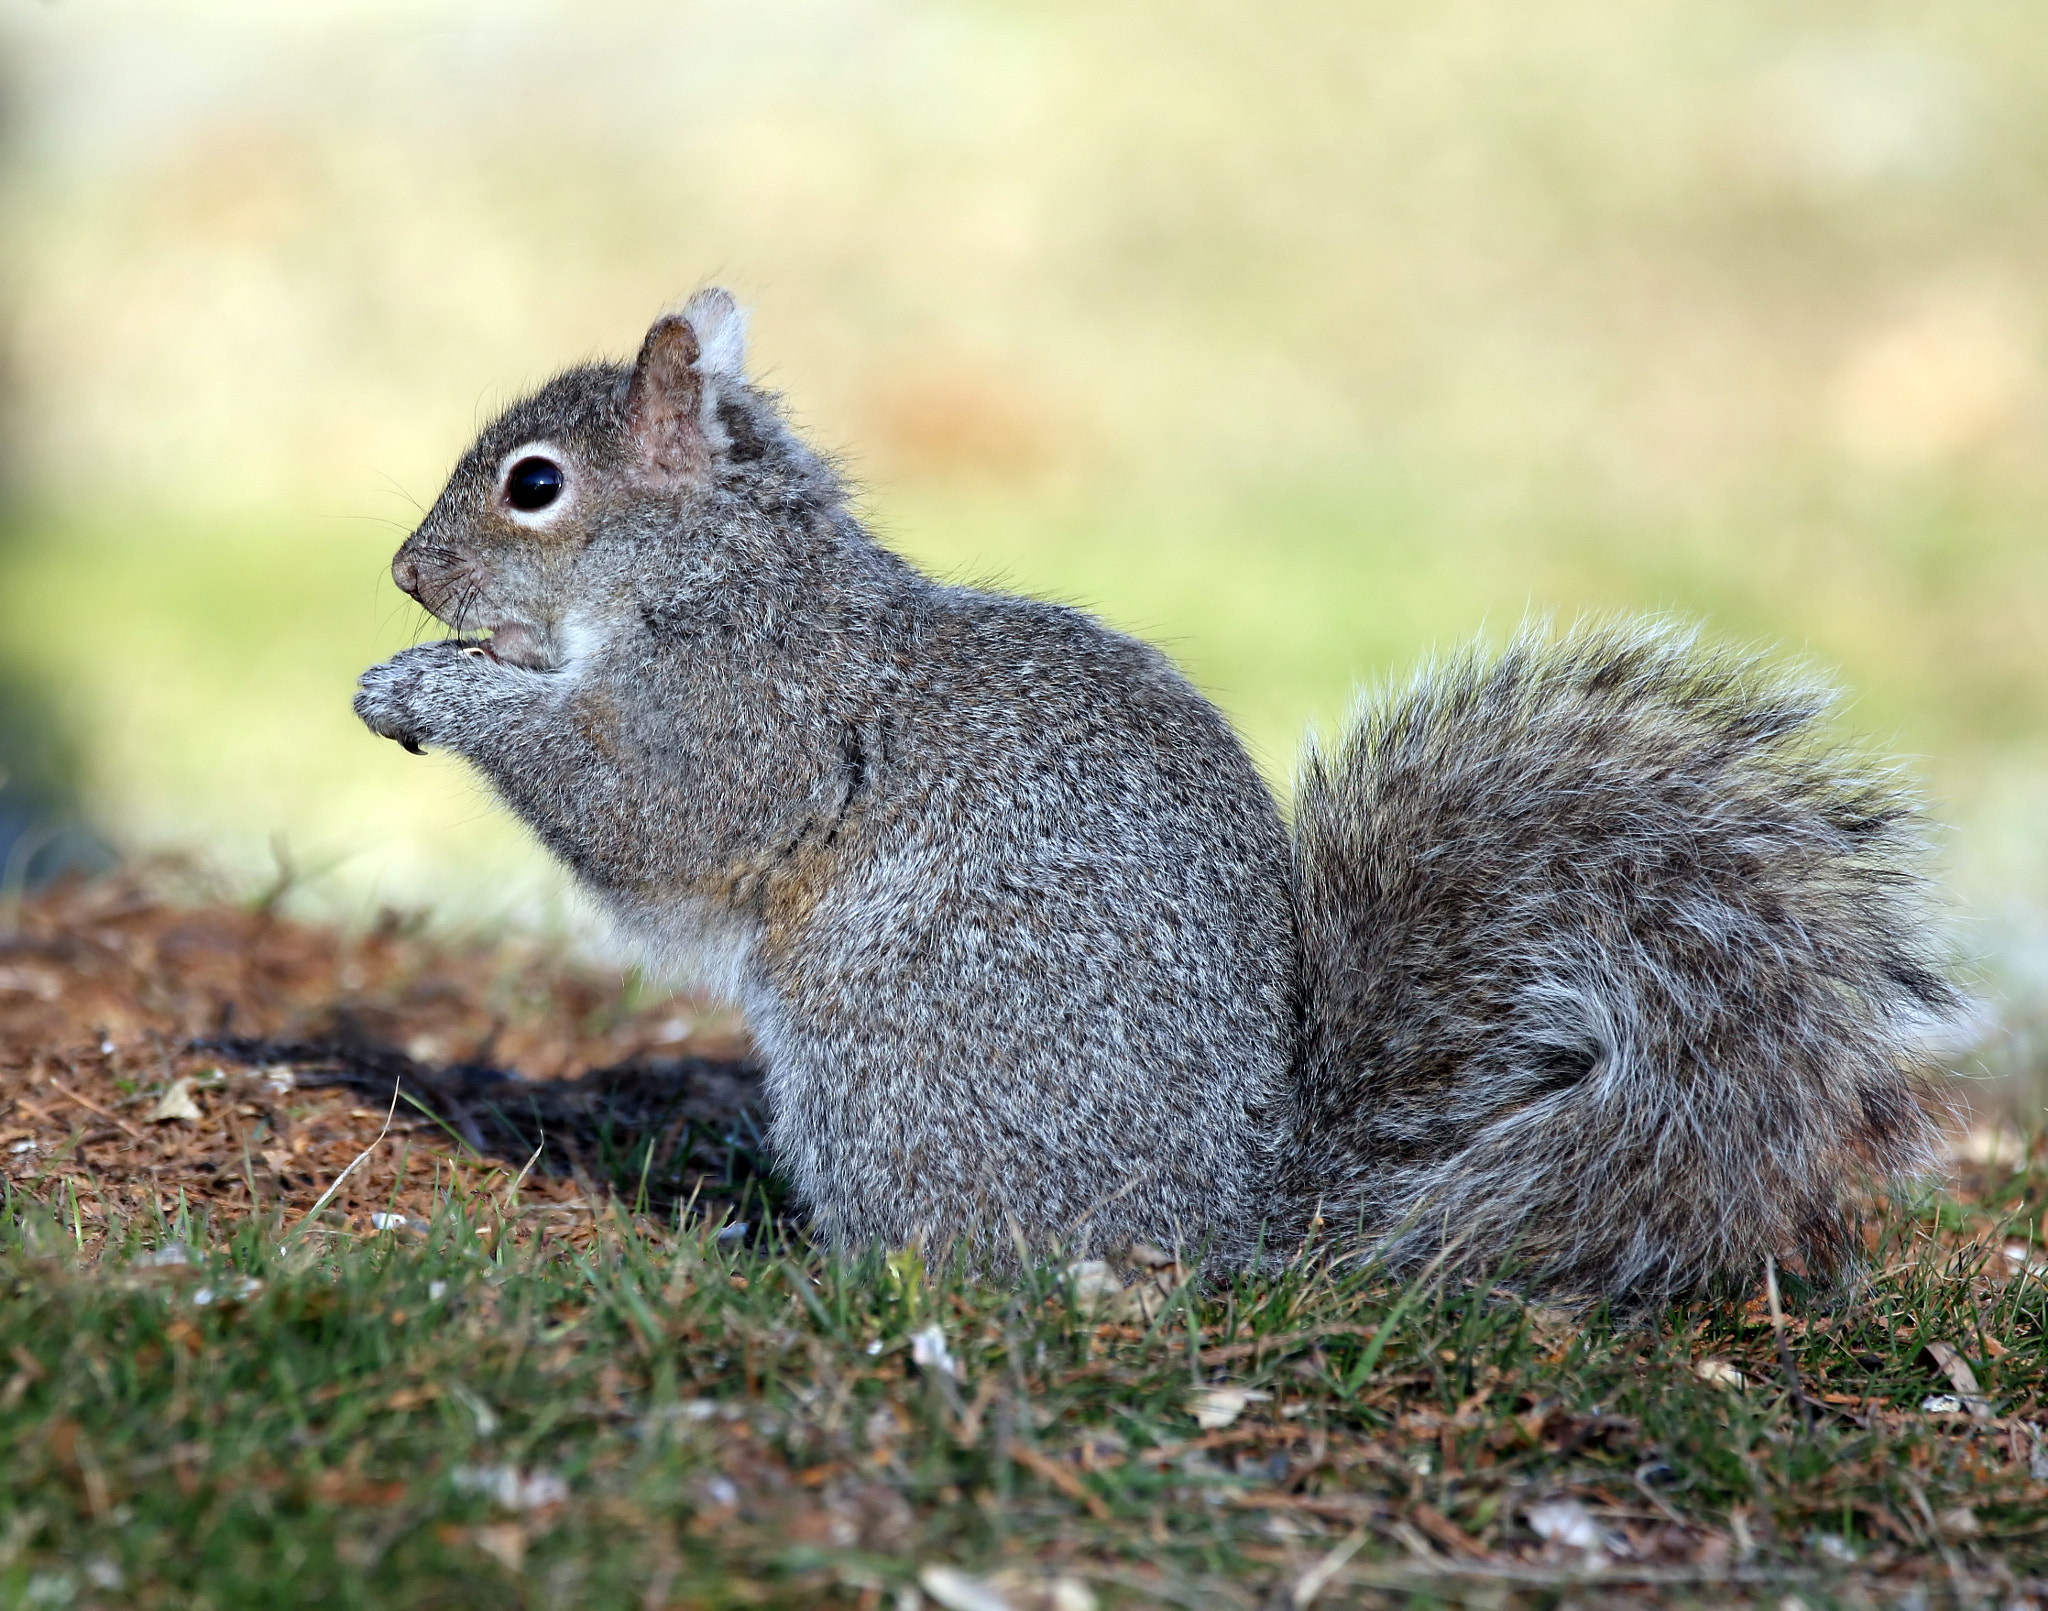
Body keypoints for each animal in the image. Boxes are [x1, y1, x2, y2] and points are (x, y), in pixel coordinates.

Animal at [356, 288, 1960, 1298]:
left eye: (535, 485)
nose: (406, 573)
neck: (722, 577)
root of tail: (1236, 1220)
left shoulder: (747, 715)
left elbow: (642, 808)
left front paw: (434, 691)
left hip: (901, 1055)